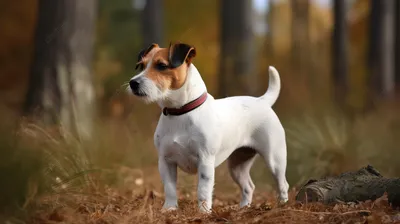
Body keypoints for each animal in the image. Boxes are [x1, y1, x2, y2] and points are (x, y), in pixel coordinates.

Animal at [128, 42, 288, 214]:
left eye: (162, 65)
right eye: (141, 65)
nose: (133, 83)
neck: (180, 112)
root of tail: (262, 101)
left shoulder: (205, 161)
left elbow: (203, 190)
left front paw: (204, 212)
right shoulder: (166, 161)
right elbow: (170, 188)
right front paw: (169, 209)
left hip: (275, 159)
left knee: (282, 184)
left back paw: (283, 206)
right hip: (237, 165)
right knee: (248, 187)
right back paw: (243, 208)